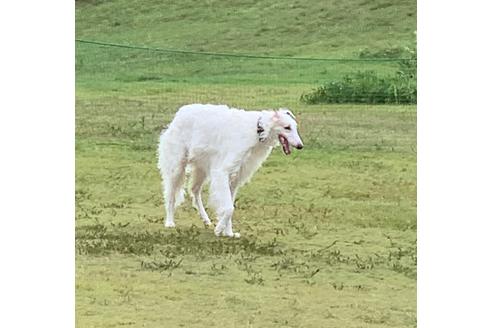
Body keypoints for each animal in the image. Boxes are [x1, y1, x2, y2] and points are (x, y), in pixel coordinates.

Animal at [158, 105, 304, 238]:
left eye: (295, 127)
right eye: (287, 127)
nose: (300, 146)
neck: (257, 129)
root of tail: (179, 114)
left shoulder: (235, 178)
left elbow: (230, 207)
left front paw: (228, 232)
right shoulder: (222, 172)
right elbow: (229, 208)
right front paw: (219, 229)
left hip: (202, 168)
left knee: (194, 190)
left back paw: (206, 219)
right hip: (177, 167)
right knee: (170, 195)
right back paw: (169, 222)